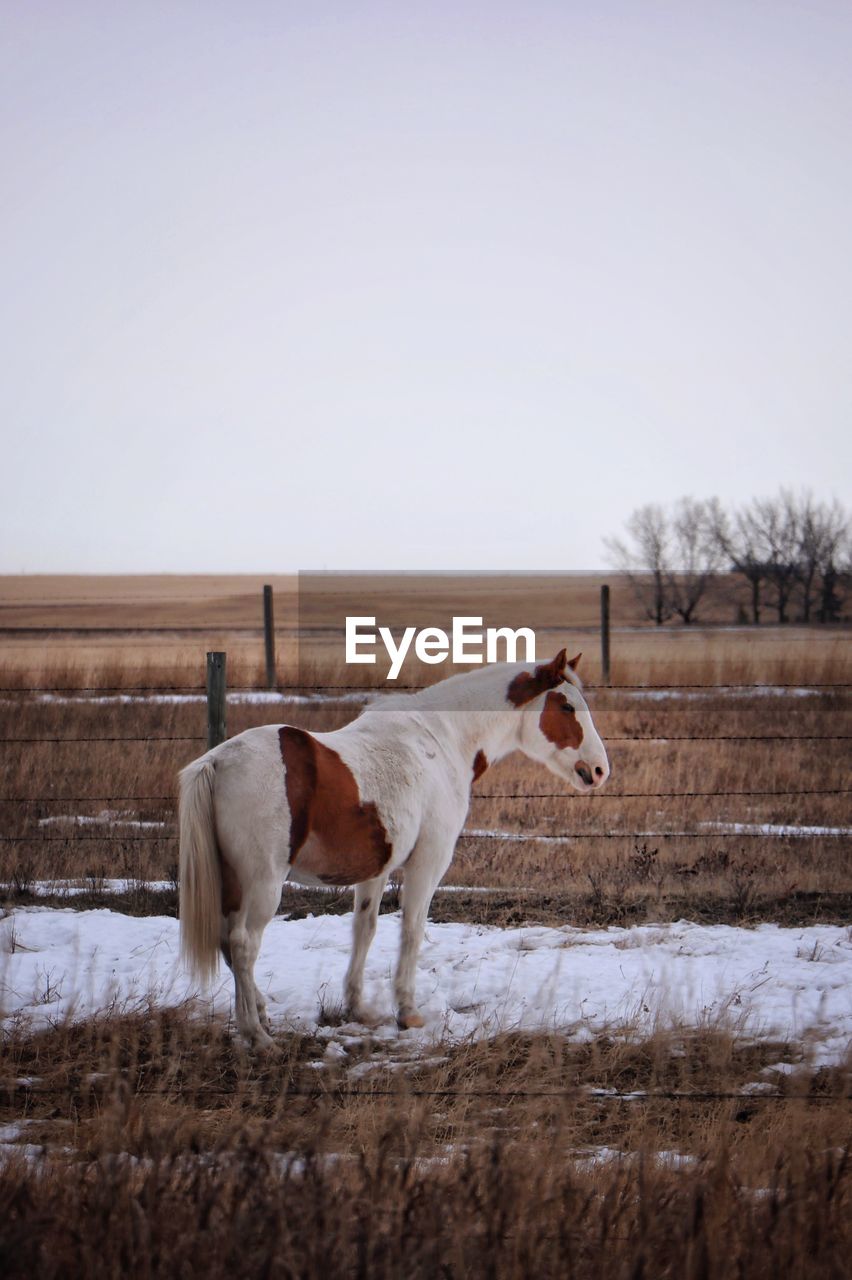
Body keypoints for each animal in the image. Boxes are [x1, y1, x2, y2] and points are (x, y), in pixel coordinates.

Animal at [177, 645, 603, 1044]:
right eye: (566, 706)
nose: (599, 770)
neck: (440, 740)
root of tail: (217, 762)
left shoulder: (374, 870)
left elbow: (364, 929)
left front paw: (357, 1008)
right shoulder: (427, 863)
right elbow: (412, 930)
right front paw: (408, 1012)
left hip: (234, 884)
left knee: (228, 944)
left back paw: (261, 1015)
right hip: (262, 884)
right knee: (243, 945)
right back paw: (257, 1035)